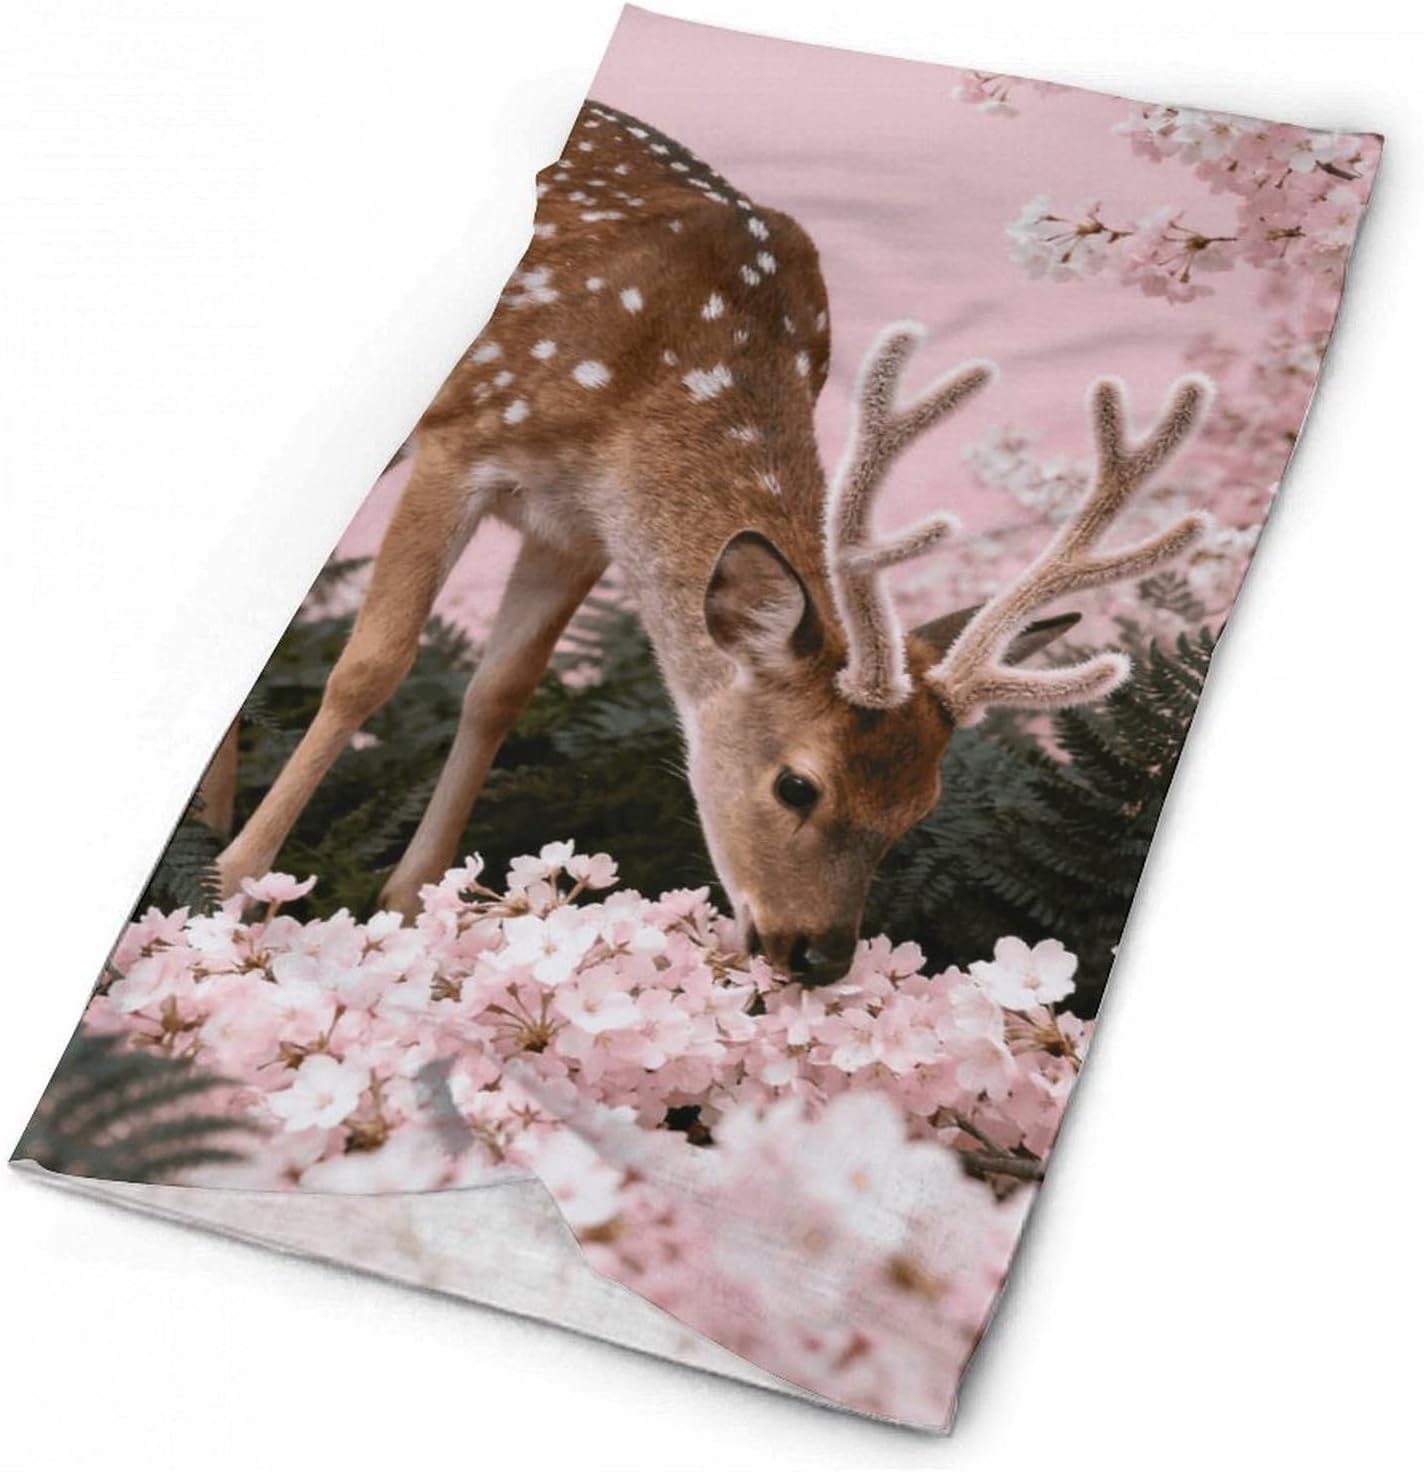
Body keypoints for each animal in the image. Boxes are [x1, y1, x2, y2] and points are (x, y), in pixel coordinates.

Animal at [214, 100, 1212, 985]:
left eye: (919, 808)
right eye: (797, 785)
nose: (818, 956)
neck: (656, 385)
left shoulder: (581, 526)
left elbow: (500, 693)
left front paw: (410, 902)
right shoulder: (465, 442)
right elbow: (372, 665)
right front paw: (234, 887)